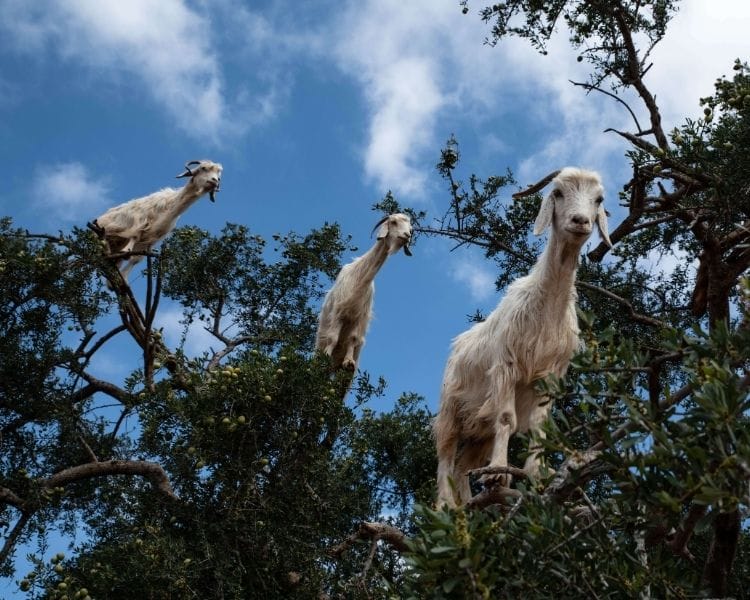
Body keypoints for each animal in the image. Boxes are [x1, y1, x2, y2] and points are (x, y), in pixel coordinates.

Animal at [93, 160, 222, 280]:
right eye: (203, 168)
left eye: (219, 176)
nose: (214, 181)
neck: (170, 206)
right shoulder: (140, 221)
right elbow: (135, 236)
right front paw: (126, 251)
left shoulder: (152, 238)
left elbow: (137, 259)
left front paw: (122, 277)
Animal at [315, 213, 412, 371]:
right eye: (393, 222)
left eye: (411, 228)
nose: (407, 236)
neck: (359, 278)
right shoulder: (338, 311)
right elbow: (333, 337)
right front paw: (326, 355)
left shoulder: (359, 316)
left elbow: (353, 338)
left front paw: (349, 361)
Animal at [434, 167, 612, 508]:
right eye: (558, 193)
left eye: (598, 199)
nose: (581, 221)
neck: (546, 307)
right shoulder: (506, 366)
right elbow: (507, 419)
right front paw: (498, 474)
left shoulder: (550, 375)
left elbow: (539, 427)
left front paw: (535, 475)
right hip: (451, 409)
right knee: (446, 458)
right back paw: (445, 507)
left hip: (480, 428)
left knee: (464, 465)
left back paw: (468, 507)